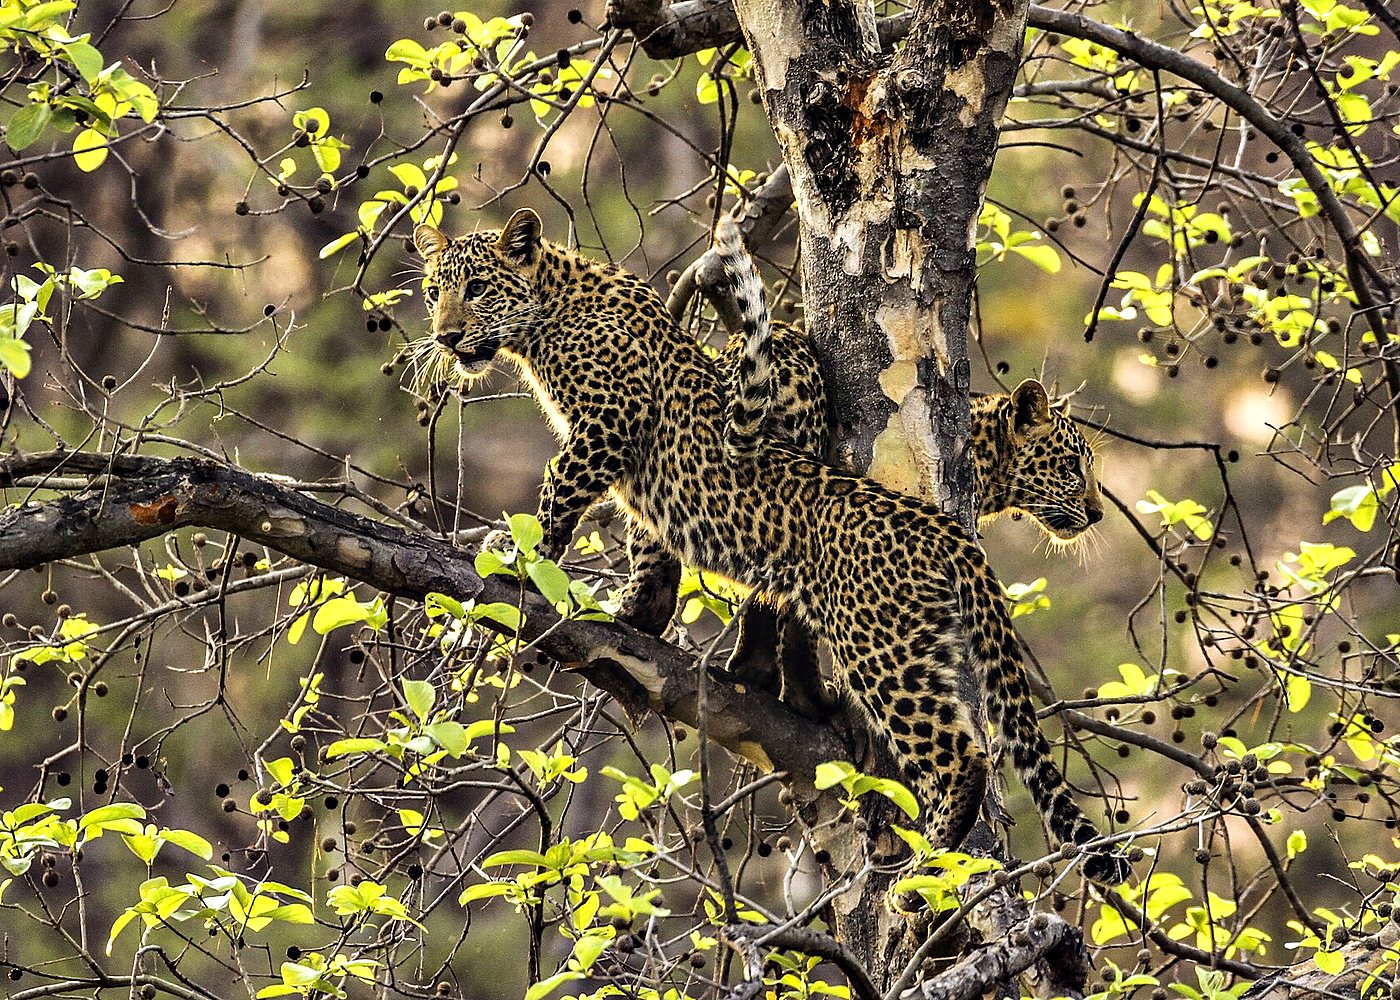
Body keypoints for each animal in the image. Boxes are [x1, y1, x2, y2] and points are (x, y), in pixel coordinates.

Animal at [410, 209, 1130, 886]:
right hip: (917, 644)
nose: (446, 336)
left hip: (882, 649)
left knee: (959, 755)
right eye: (435, 291)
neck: (547, 318)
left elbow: (559, 497)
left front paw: (520, 560)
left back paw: (924, 863)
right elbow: (645, 539)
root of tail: (942, 528)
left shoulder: (607, 426)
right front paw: (635, 610)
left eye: (477, 289)